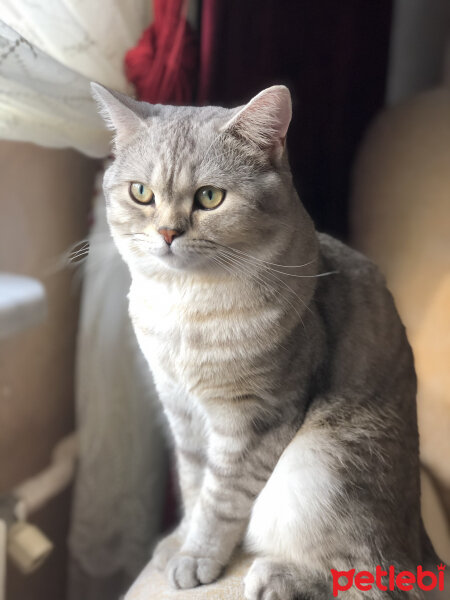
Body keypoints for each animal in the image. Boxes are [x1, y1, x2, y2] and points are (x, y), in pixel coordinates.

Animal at [89, 81, 438, 600]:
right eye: (141, 193)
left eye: (210, 197)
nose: (168, 232)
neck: (185, 308)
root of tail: (421, 545)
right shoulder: (182, 410)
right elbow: (193, 484)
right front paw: (179, 541)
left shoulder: (256, 418)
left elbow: (220, 501)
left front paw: (196, 558)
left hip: (322, 469)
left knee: (372, 576)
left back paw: (277, 576)